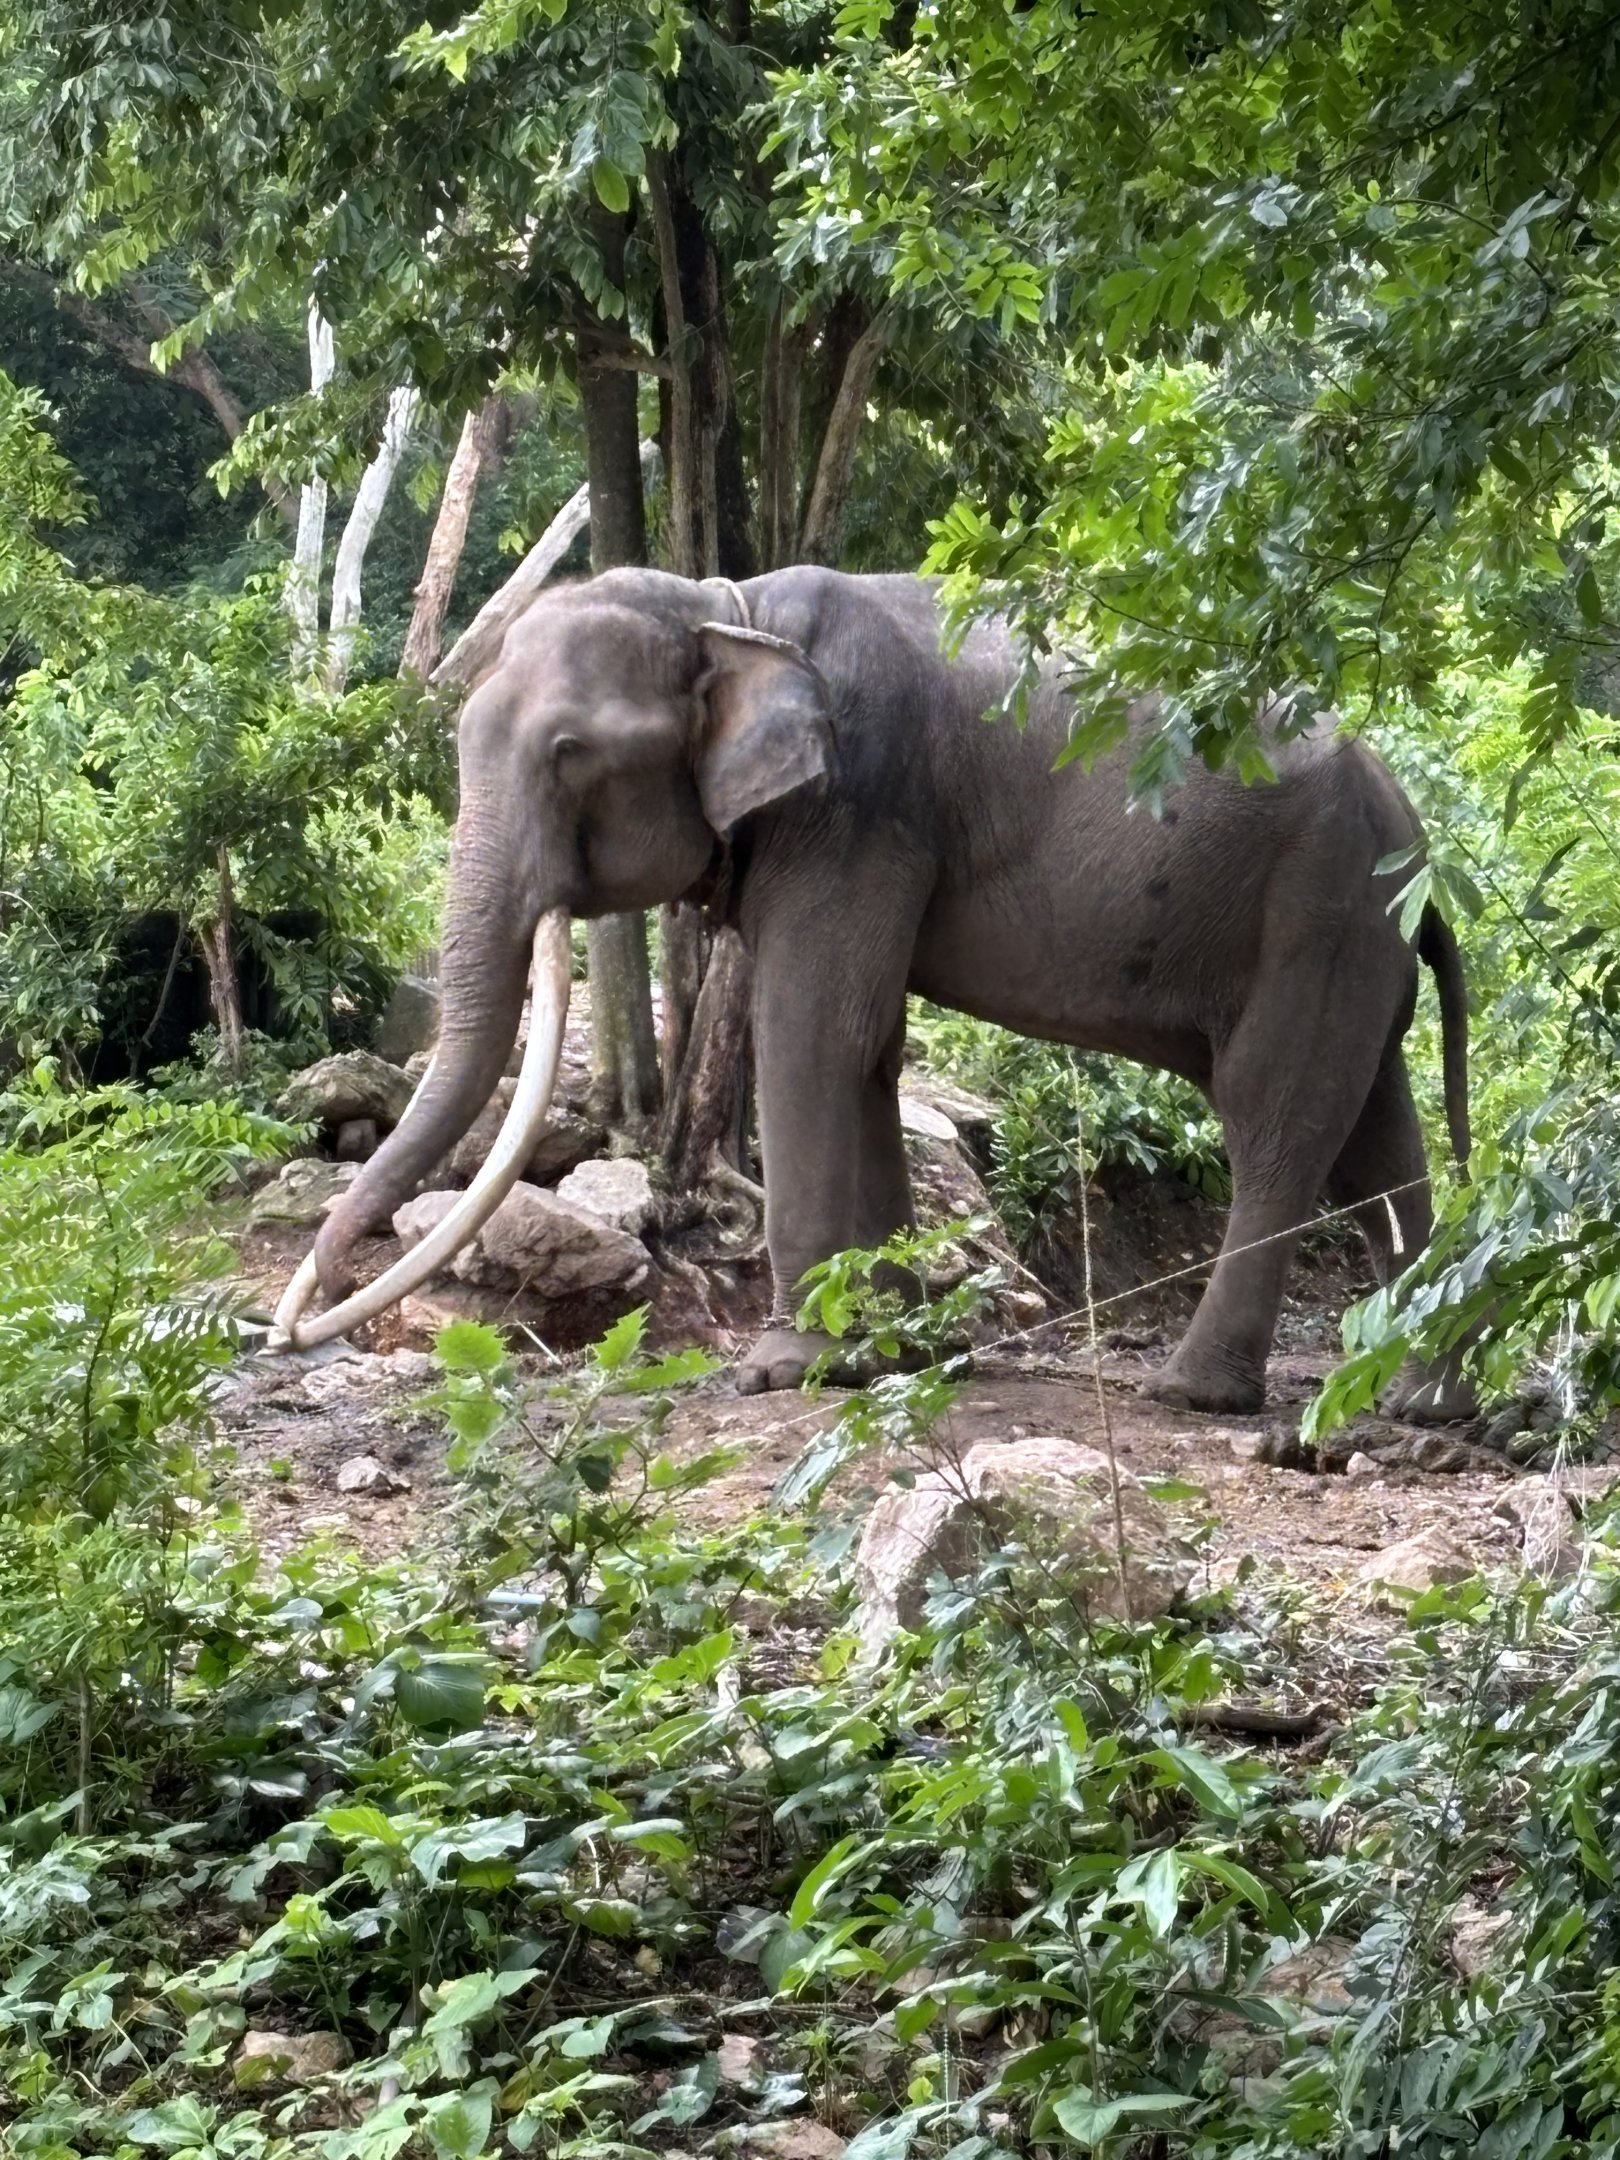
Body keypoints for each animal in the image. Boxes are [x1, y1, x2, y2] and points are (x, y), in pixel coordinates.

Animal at [274, 565, 1473, 1419]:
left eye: (570, 753)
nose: (284, 1330)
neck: (726, 609)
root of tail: (1421, 839)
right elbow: (870, 1046)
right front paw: (903, 1355)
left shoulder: (856, 808)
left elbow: (813, 1032)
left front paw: (785, 1370)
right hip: (1359, 934)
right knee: (1375, 1133)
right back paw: (1422, 1405)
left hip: (1319, 913)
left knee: (1276, 1119)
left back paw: (1191, 1395)